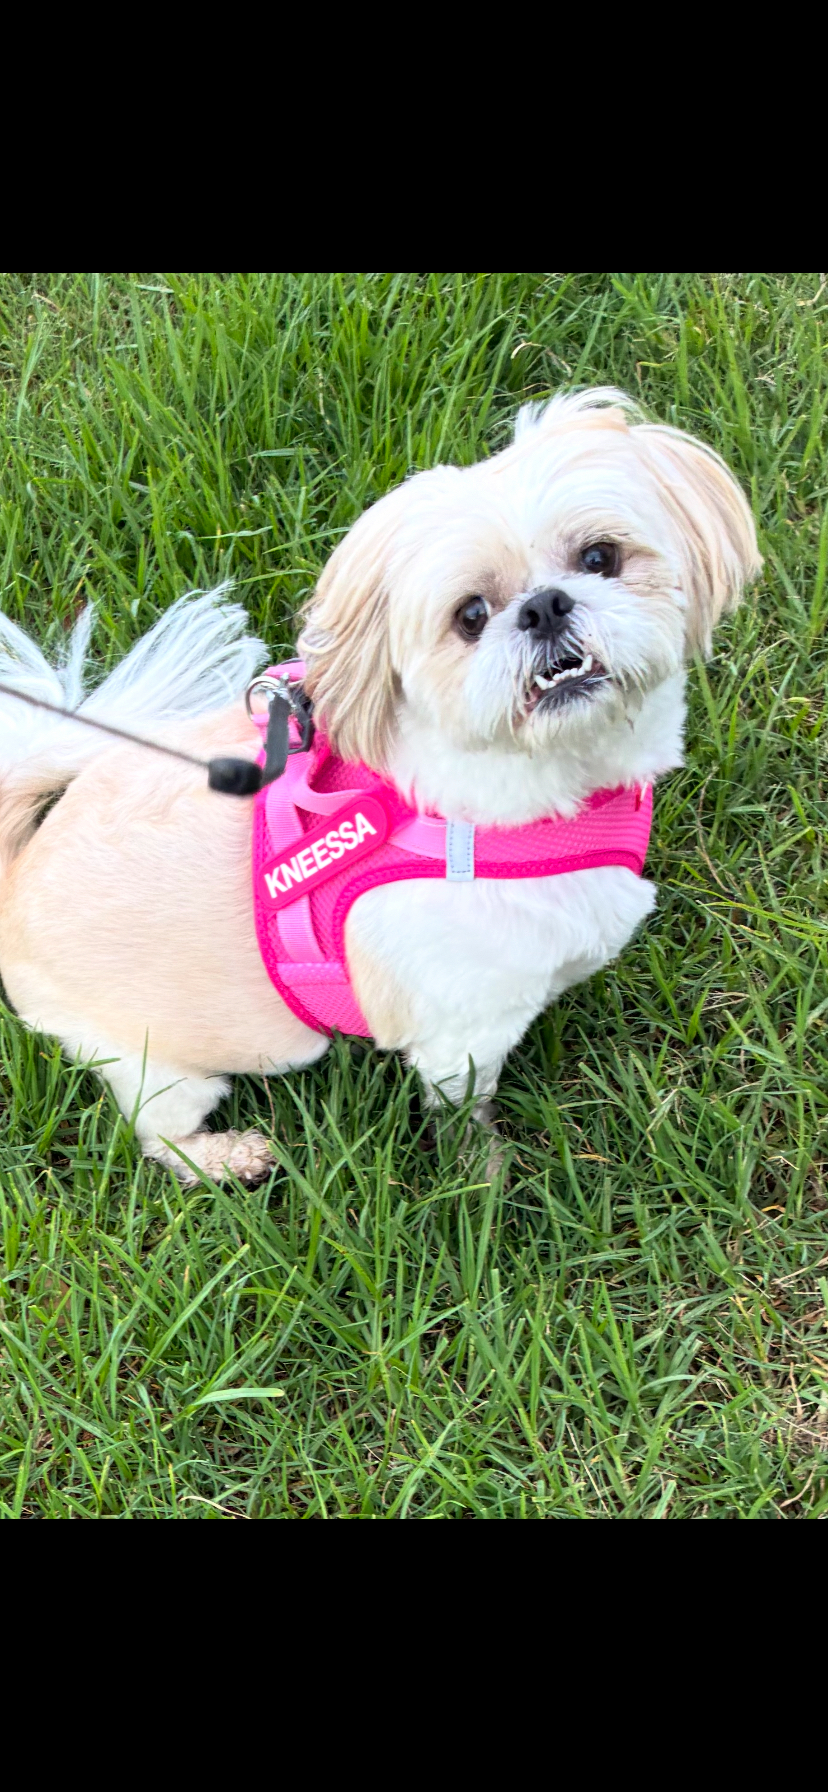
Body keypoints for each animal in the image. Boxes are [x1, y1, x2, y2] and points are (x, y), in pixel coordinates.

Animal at [0, 388, 760, 1182]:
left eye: (600, 557)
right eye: (471, 615)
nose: (545, 605)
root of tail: (16, 872)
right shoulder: (461, 1034)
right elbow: (463, 1109)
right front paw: (481, 1174)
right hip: (162, 1064)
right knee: (160, 1133)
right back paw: (225, 1157)